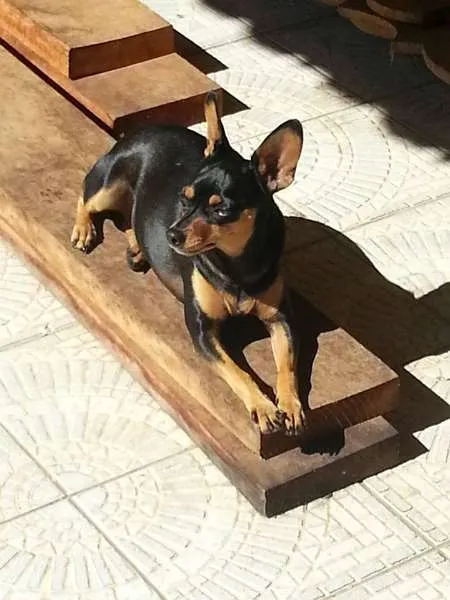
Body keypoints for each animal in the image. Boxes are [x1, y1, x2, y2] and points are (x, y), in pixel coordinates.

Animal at [71, 92, 305, 436]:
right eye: (184, 197)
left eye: (221, 211)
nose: (172, 234)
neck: (235, 263)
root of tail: (144, 129)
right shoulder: (201, 330)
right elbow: (236, 371)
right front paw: (262, 406)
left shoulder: (281, 319)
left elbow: (287, 365)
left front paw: (290, 404)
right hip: (109, 186)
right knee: (86, 198)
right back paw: (84, 229)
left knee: (131, 218)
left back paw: (138, 248)